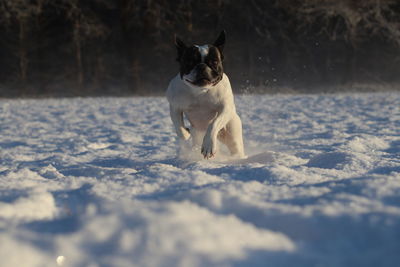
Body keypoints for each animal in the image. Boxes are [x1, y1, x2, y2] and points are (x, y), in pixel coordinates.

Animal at [166, 30, 247, 161]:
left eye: (214, 62)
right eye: (190, 62)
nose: (202, 66)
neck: (200, 91)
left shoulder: (225, 108)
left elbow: (213, 124)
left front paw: (208, 146)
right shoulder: (175, 107)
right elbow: (179, 127)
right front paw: (186, 133)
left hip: (232, 132)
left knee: (235, 147)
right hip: (198, 135)